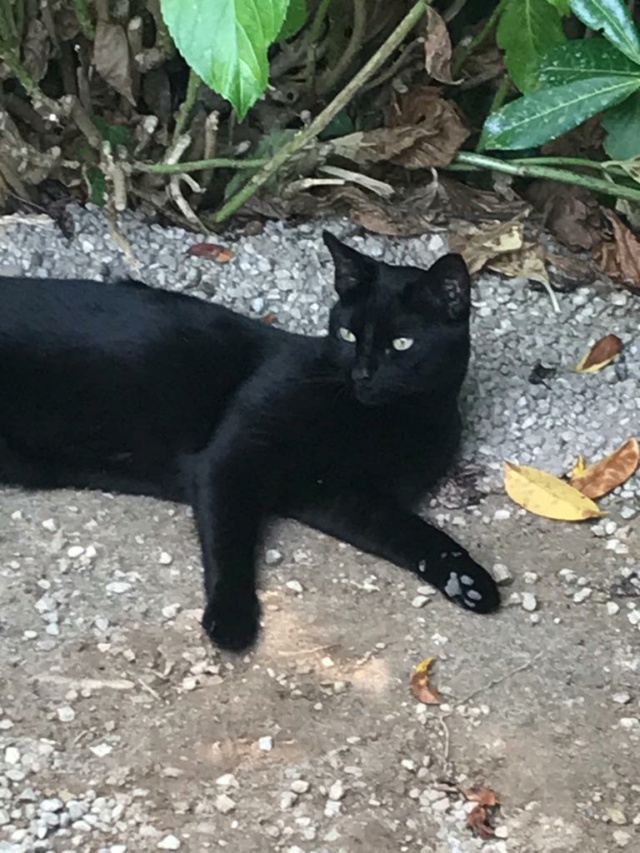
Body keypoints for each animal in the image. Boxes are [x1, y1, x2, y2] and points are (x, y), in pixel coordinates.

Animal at [0, 231, 500, 644]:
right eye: (346, 334)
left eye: (401, 344)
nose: (361, 373)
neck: (381, 422)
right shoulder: (233, 459)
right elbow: (230, 542)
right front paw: (232, 616)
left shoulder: (349, 500)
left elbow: (415, 533)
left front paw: (467, 578)